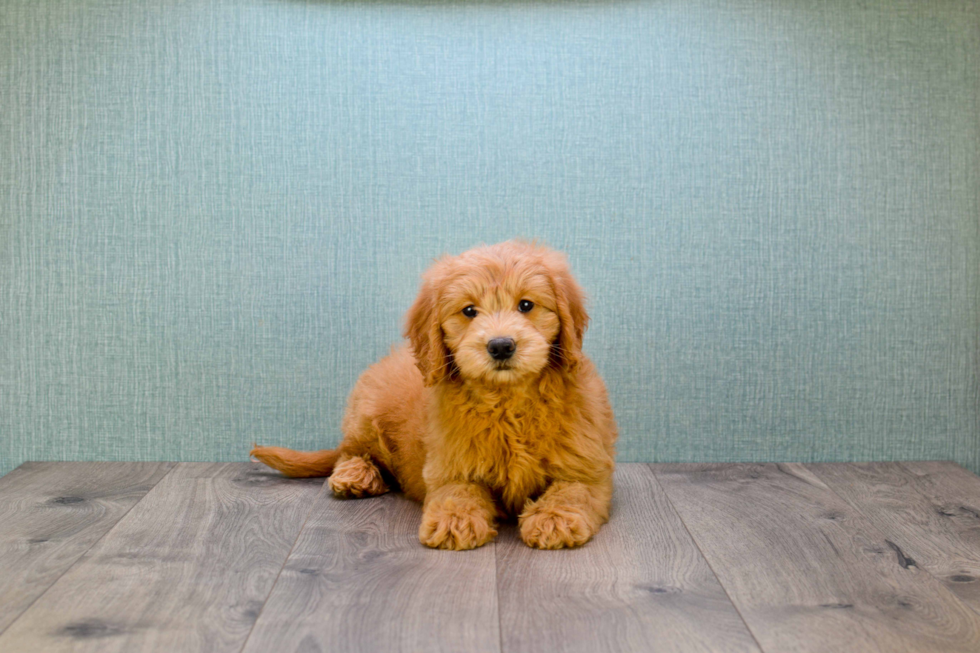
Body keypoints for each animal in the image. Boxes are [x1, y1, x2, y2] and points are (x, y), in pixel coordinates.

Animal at [249, 242, 616, 548]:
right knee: (349, 451)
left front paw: (553, 519)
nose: (500, 345)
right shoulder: (449, 466)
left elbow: (572, 492)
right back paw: (356, 475)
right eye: (469, 311)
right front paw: (455, 519)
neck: (506, 400)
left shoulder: (587, 467)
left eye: (527, 305)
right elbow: (456, 490)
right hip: (365, 414)